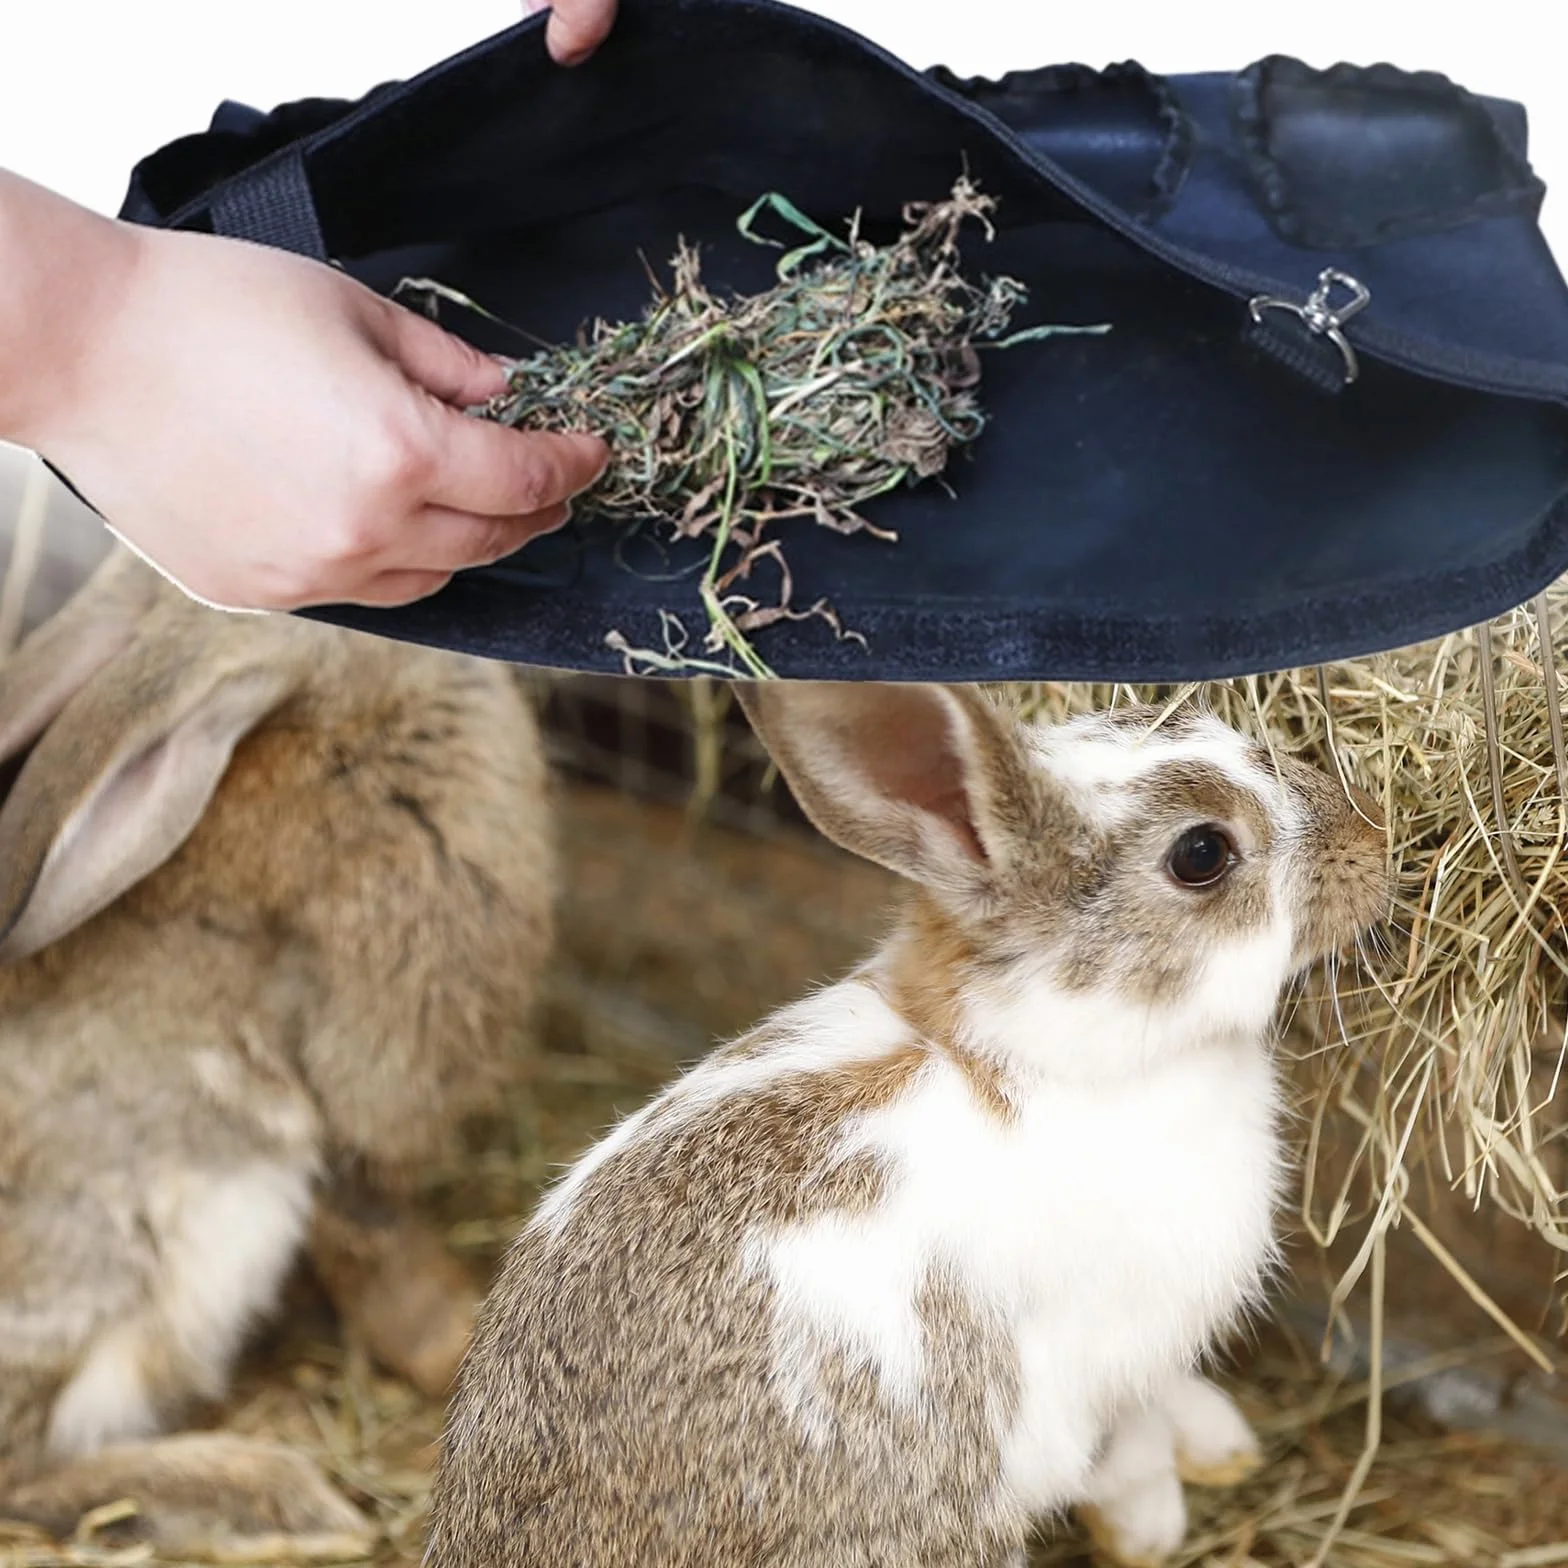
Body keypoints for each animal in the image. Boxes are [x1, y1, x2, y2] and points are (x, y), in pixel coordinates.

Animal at [0, 549, 555, 1559]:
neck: (330, 724)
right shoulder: (367, 1091)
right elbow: (376, 1235)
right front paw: (452, 1341)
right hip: (101, 1267)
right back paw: (271, 1498)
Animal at [428, 680, 1389, 1568]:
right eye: (1201, 853)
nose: (1372, 841)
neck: (1051, 1056)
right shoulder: (1093, 1362)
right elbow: (1124, 1446)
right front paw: (1149, 1529)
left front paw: (1218, 1445)